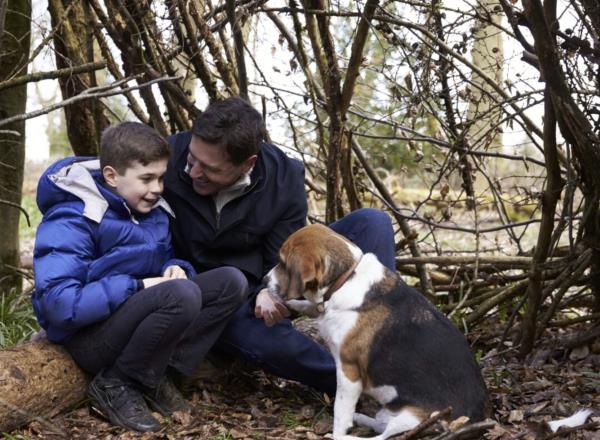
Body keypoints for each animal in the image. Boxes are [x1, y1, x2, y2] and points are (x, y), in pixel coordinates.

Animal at [264, 225, 490, 438]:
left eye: (283, 263)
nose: (264, 281)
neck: (346, 279)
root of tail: (477, 420)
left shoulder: (348, 371)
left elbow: (340, 412)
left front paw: (337, 433)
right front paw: (289, 304)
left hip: (416, 418)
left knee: (384, 436)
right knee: (380, 425)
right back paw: (360, 417)